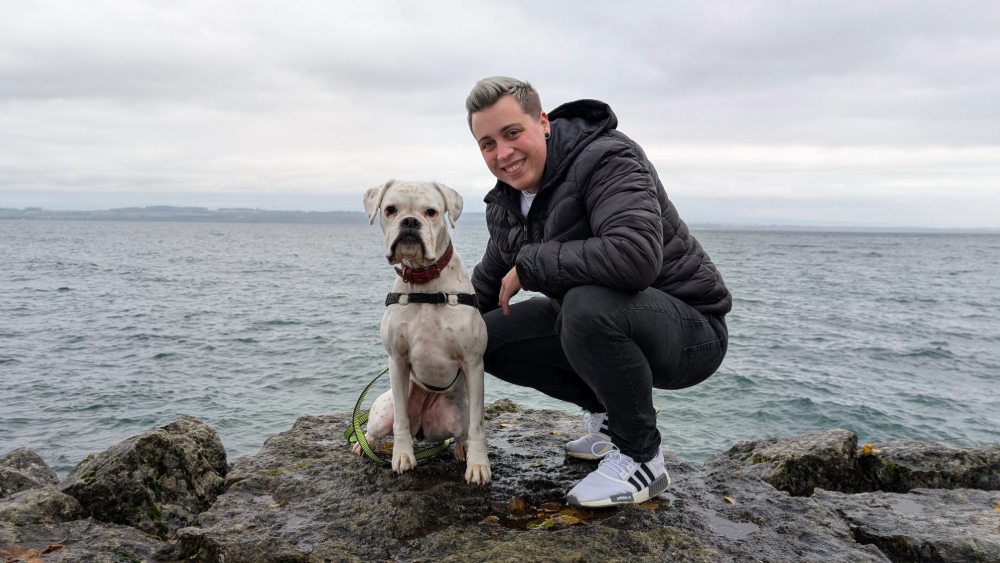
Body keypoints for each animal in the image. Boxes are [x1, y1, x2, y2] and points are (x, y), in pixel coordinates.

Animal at [356, 180, 492, 484]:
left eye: (431, 212)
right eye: (390, 210)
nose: (409, 222)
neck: (424, 282)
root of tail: (422, 432)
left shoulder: (473, 363)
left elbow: (478, 424)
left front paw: (478, 465)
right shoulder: (397, 360)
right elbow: (401, 421)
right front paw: (402, 455)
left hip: (455, 415)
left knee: (462, 432)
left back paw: (462, 449)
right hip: (384, 410)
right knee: (379, 427)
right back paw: (365, 443)